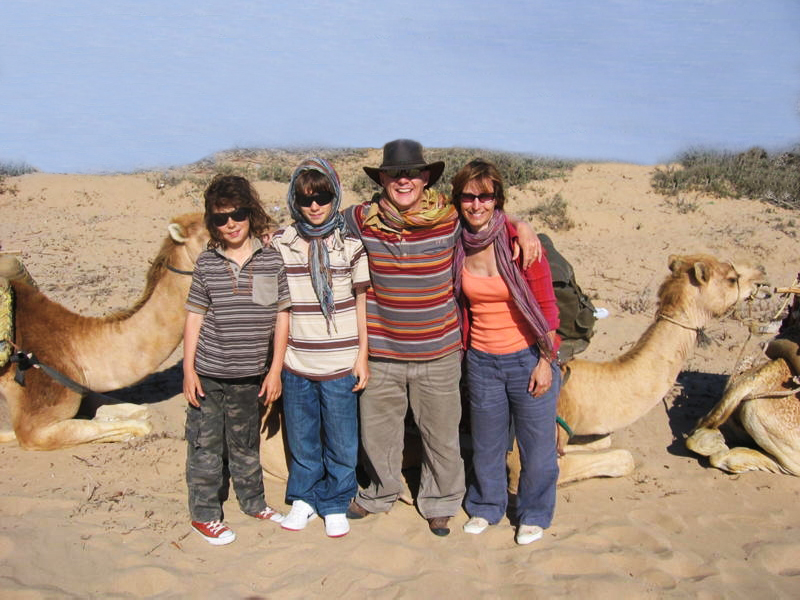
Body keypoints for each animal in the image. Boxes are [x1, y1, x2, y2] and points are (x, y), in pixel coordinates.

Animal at [0, 213, 209, 448]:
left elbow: (141, 411)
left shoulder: (83, 388)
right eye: (210, 241)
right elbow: (143, 425)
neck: (71, 345)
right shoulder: (33, 428)